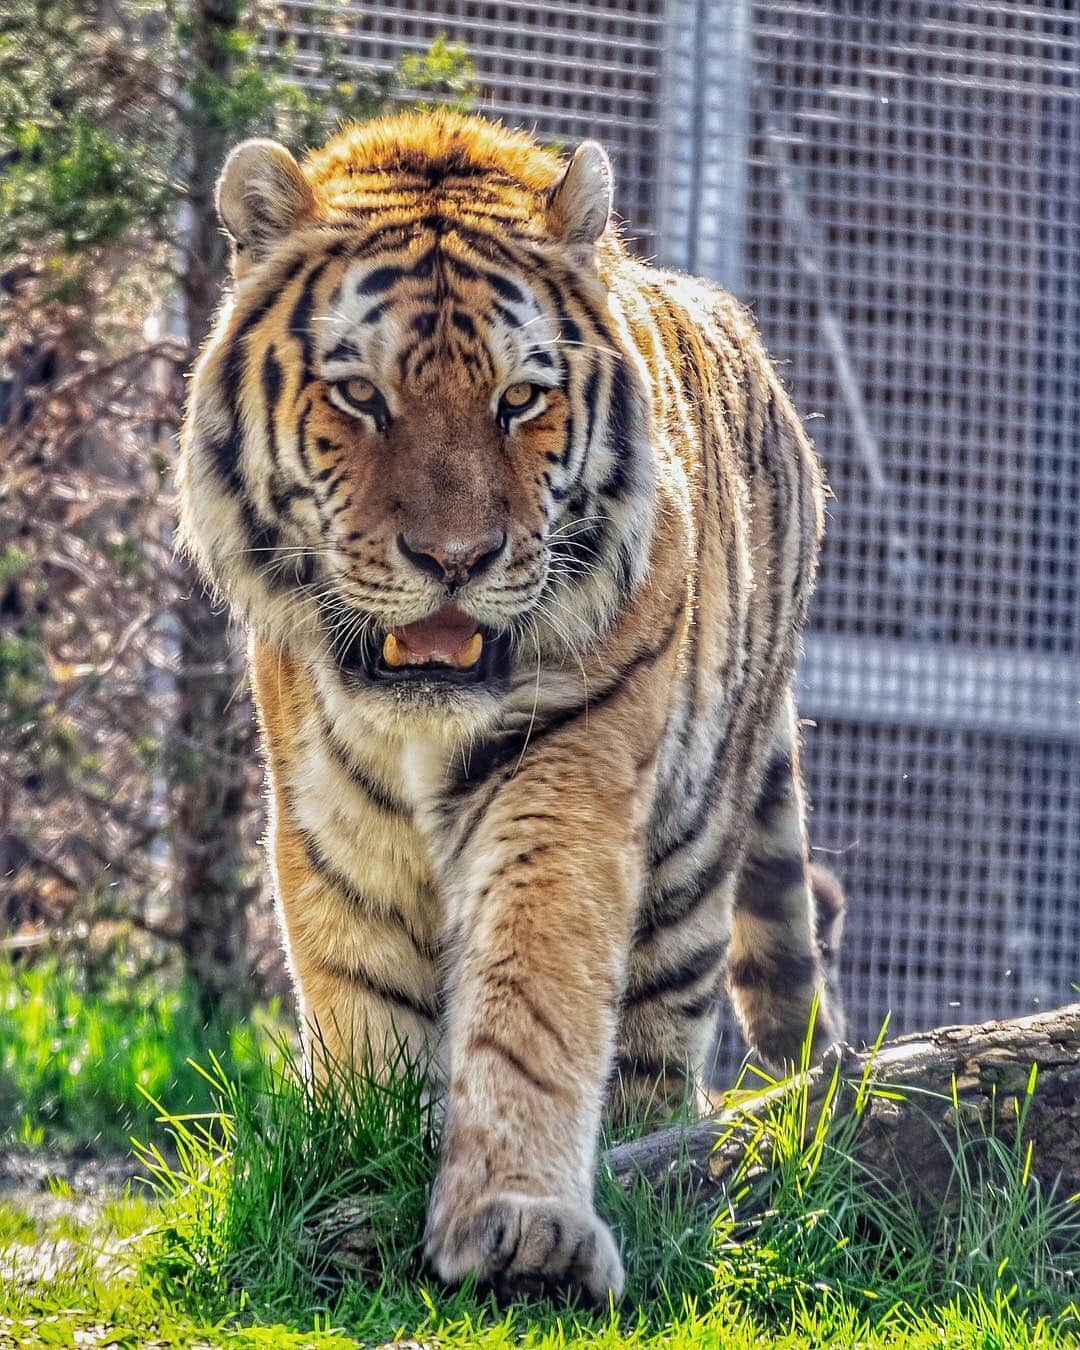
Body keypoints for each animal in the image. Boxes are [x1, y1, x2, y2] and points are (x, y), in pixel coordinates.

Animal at [176, 110, 847, 1301]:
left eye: (520, 399)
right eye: (360, 396)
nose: (455, 559)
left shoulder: (569, 769)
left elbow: (534, 990)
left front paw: (520, 1226)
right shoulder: (326, 815)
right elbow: (363, 1003)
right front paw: (362, 1162)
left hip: (693, 857)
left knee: (660, 1033)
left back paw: (649, 1149)